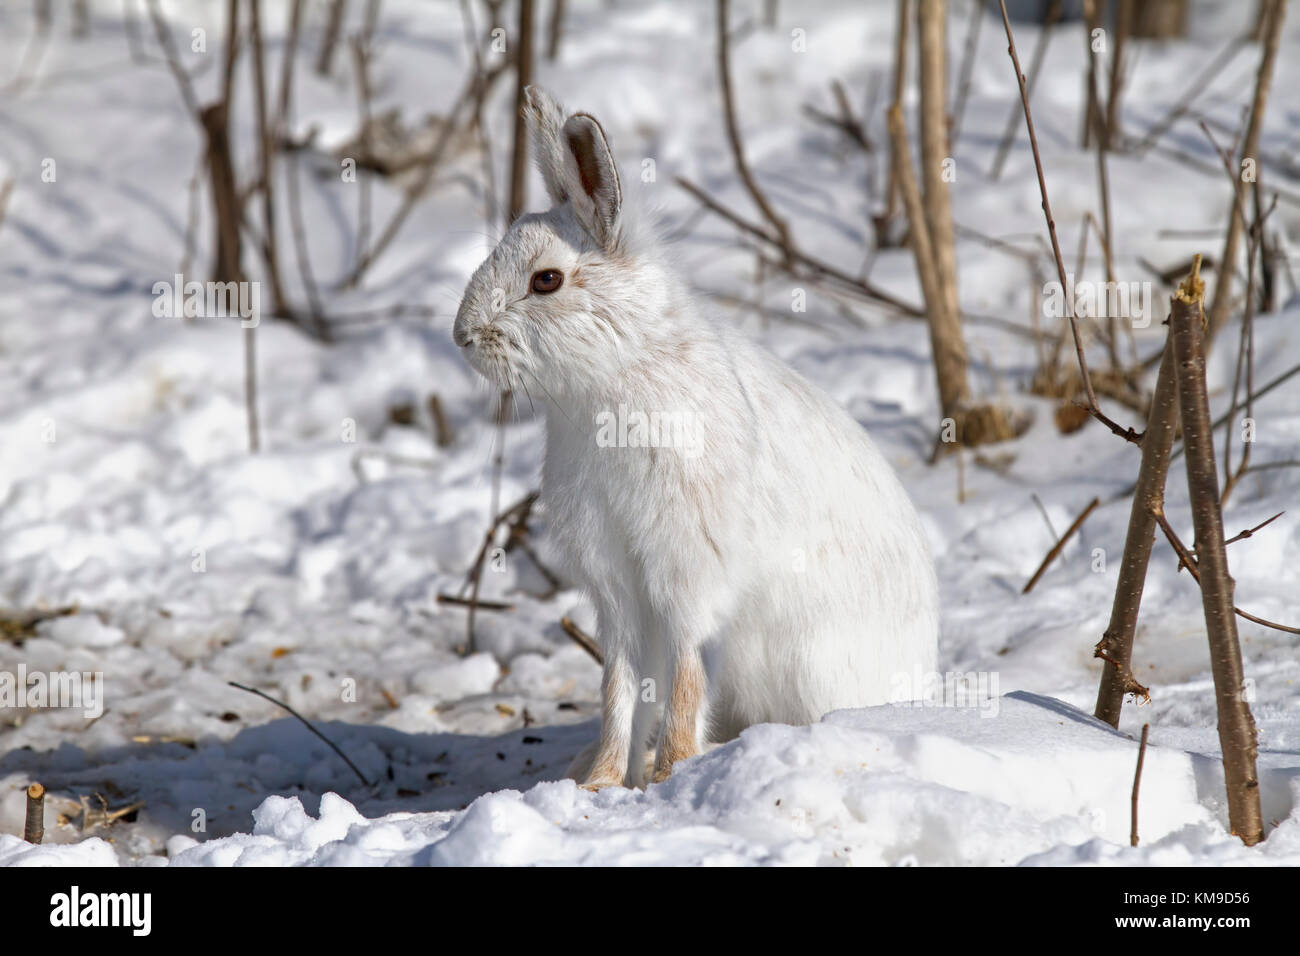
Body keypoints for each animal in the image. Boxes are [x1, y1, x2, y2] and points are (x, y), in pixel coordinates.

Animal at [452, 87, 939, 790]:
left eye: (546, 280)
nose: (462, 336)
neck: (617, 375)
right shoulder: (617, 584)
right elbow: (620, 680)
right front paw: (603, 779)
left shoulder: (689, 564)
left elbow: (684, 668)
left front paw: (672, 770)